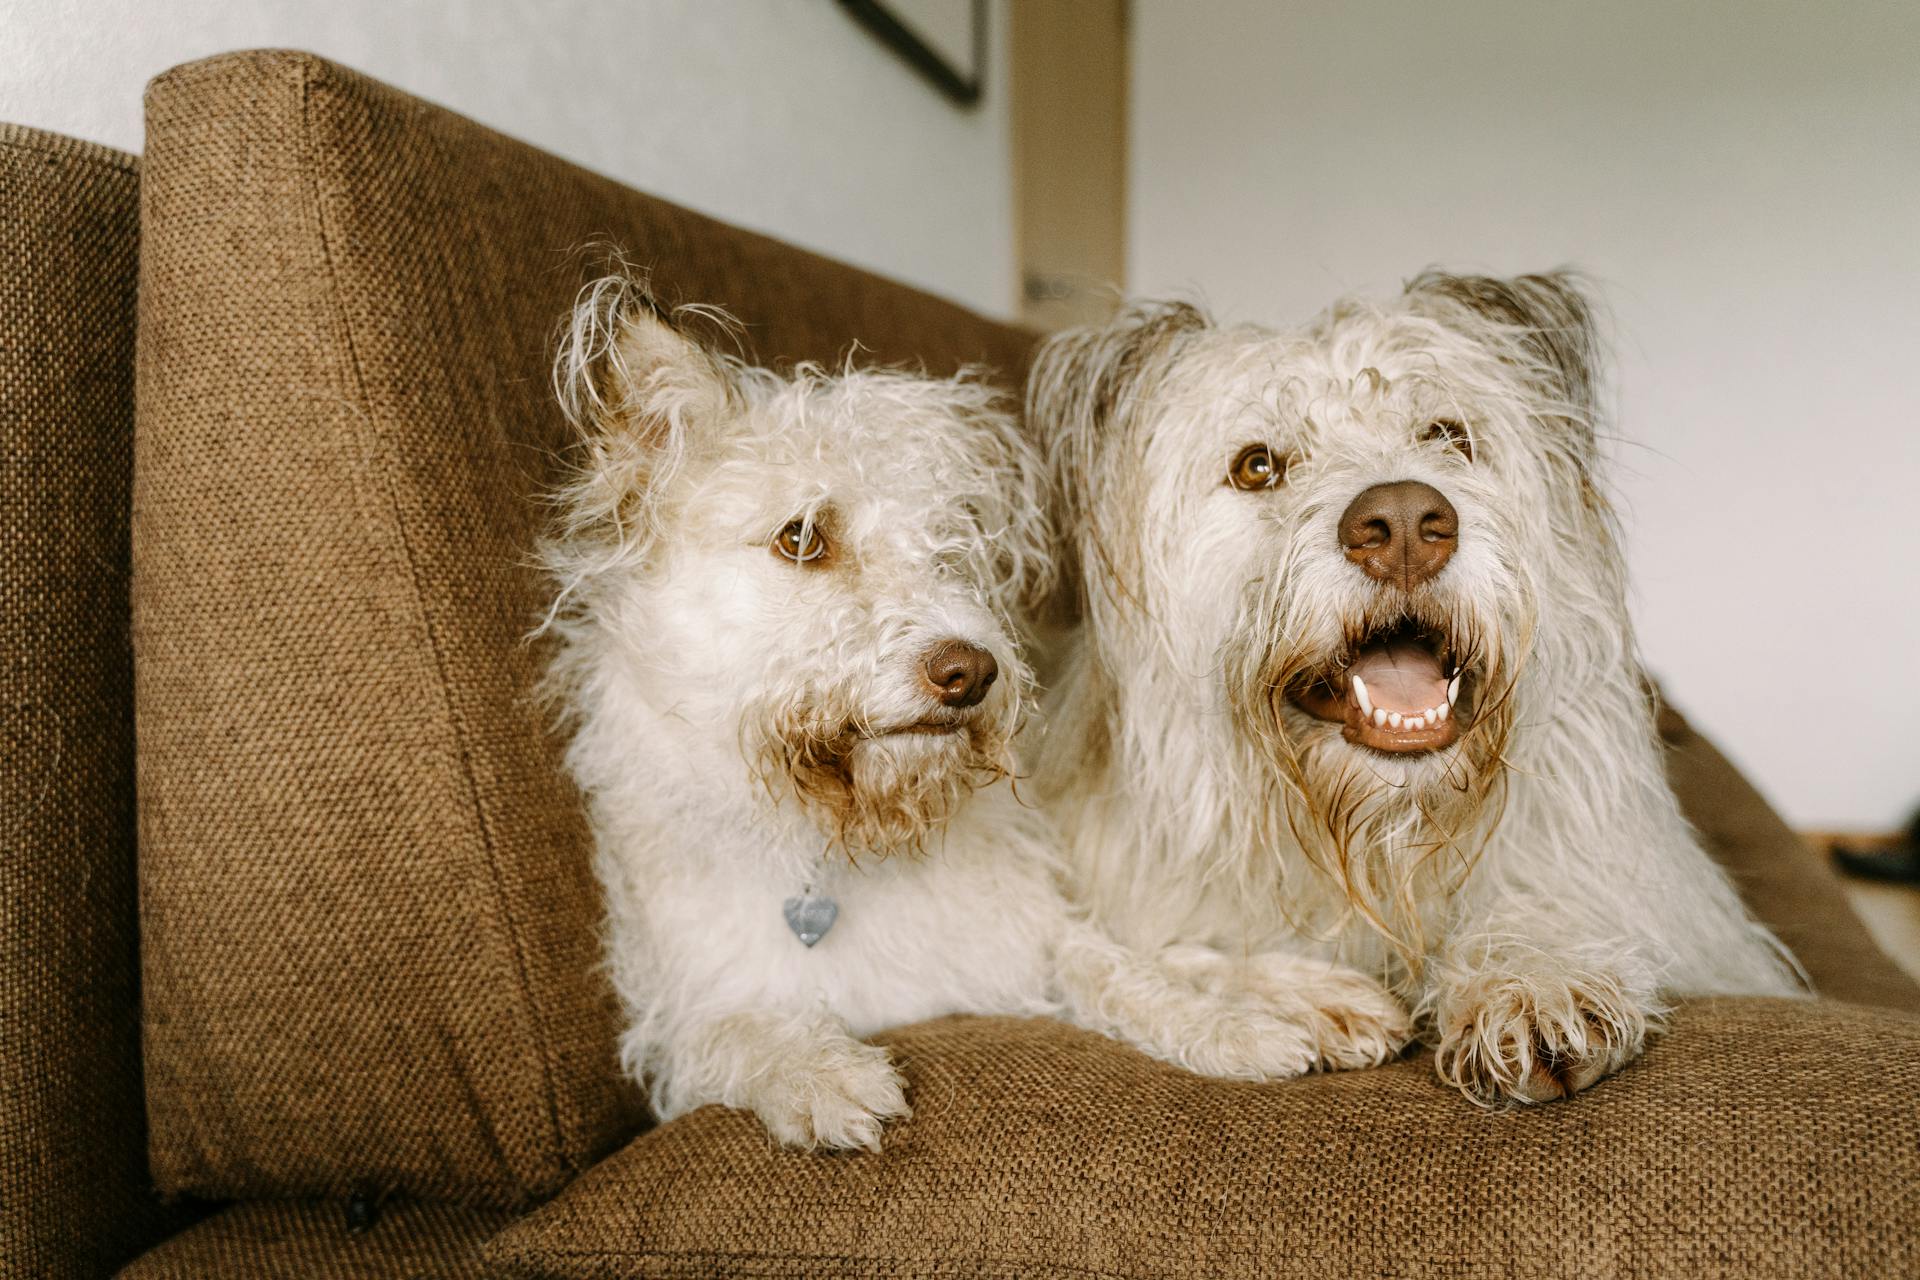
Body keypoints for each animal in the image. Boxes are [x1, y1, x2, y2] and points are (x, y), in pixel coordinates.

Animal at [533, 272, 1359, 1151]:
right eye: (802, 538)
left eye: (949, 551)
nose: (971, 672)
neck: (836, 845)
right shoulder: (677, 1018)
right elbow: (734, 1028)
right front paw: (817, 1070)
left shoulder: (1024, 936)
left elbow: (1117, 964)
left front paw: (1226, 1025)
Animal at [1036, 272, 1797, 1113]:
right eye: (1257, 466)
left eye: (1449, 435)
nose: (1402, 522)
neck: (1382, 845)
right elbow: (1127, 954)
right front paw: (1287, 998)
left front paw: (1534, 977)